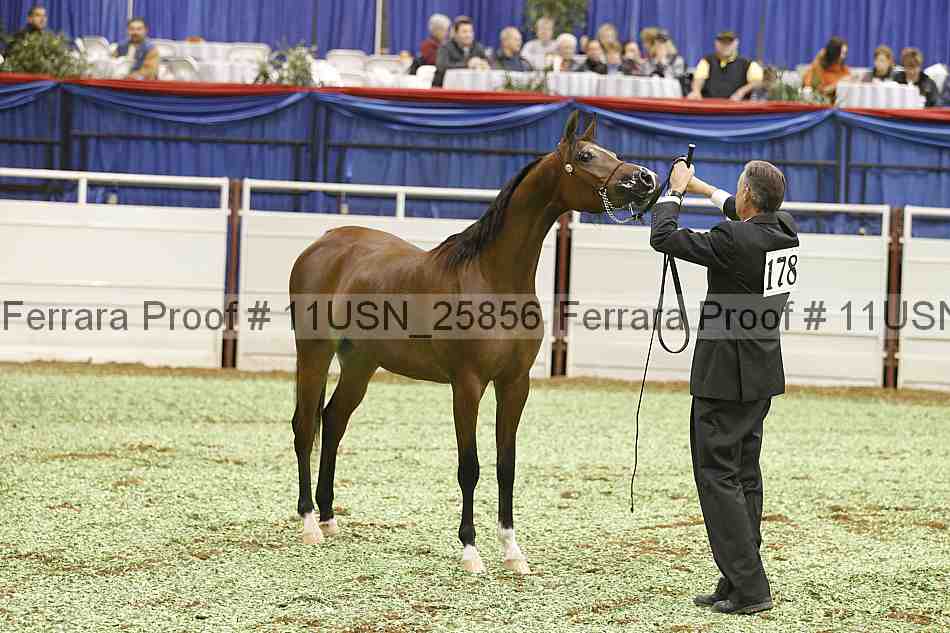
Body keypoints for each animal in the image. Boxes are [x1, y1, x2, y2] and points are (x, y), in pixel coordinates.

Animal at [288, 111, 658, 574]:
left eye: (612, 152)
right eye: (588, 156)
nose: (646, 178)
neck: (493, 279)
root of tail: (323, 242)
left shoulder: (515, 384)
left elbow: (506, 465)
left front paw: (513, 550)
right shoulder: (467, 385)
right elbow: (470, 466)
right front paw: (470, 549)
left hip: (360, 362)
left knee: (334, 421)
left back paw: (329, 516)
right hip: (314, 352)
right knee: (306, 425)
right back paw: (309, 523)